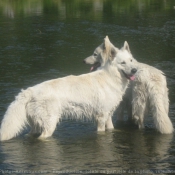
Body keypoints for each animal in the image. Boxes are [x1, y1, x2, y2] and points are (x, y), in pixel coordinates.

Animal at [0, 36, 137, 141]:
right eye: (123, 63)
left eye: (131, 60)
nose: (135, 70)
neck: (111, 76)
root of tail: (28, 91)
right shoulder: (101, 118)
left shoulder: (108, 115)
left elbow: (112, 128)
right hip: (50, 124)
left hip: (36, 125)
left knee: (30, 135)